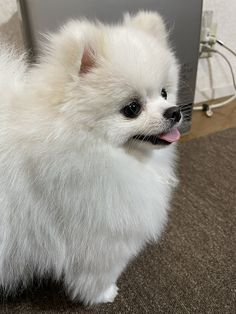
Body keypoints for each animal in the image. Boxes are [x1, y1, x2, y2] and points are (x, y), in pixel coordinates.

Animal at [0, 11, 182, 306]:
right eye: (132, 108)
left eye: (164, 93)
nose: (174, 111)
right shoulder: (98, 232)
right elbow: (98, 272)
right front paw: (103, 294)